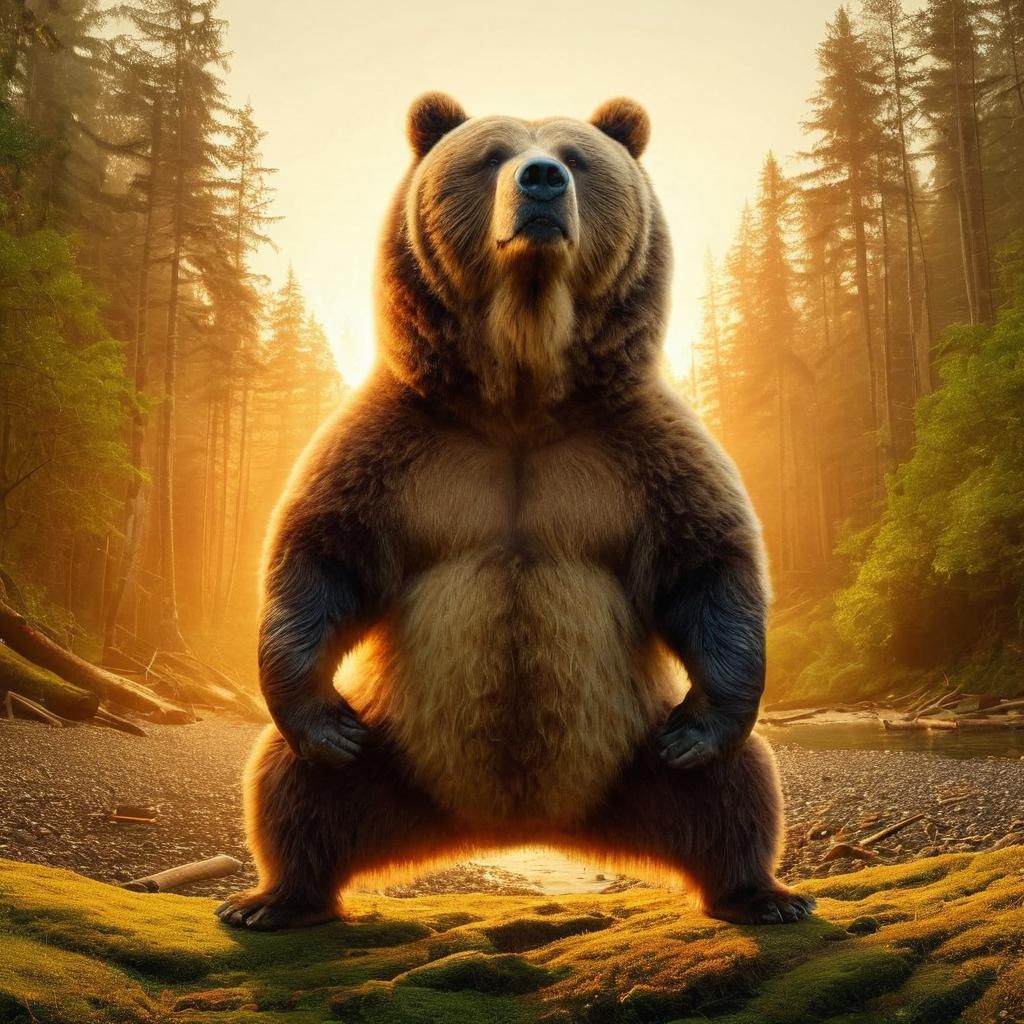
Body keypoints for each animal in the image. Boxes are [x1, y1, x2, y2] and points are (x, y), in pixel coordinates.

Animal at [215, 93, 814, 931]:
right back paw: (273, 898)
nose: (541, 180)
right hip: (392, 753)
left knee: (739, 790)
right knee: (289, 787)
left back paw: (764, 893)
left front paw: (701, 728)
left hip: (634, 755)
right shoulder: (405, 441)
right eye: (490, 154)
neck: (522, 386)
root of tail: (515, 825)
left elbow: (706, 564)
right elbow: (323, 554)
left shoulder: (634, 447)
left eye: (578, 156)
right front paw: (324, 720)